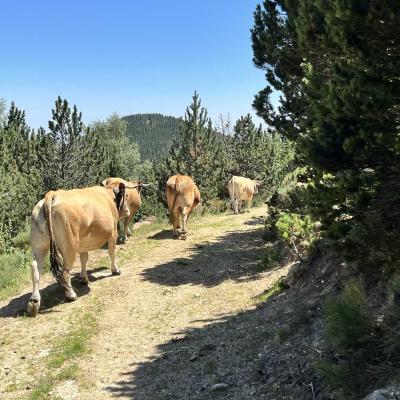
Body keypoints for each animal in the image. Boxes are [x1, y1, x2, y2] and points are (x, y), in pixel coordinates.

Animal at [27, 180, 138, 316]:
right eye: (126, 195)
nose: (128, 211)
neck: (108, 195)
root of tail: (53, 194)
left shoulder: (84, 242)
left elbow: (84, 258)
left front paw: (83, 278)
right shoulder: (112, 233)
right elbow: (112, 252)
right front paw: (115, 270)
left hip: (39, 247)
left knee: (35, 268)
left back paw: (34, 301)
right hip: (70, 245)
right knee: (65, 271)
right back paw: (71, 295)